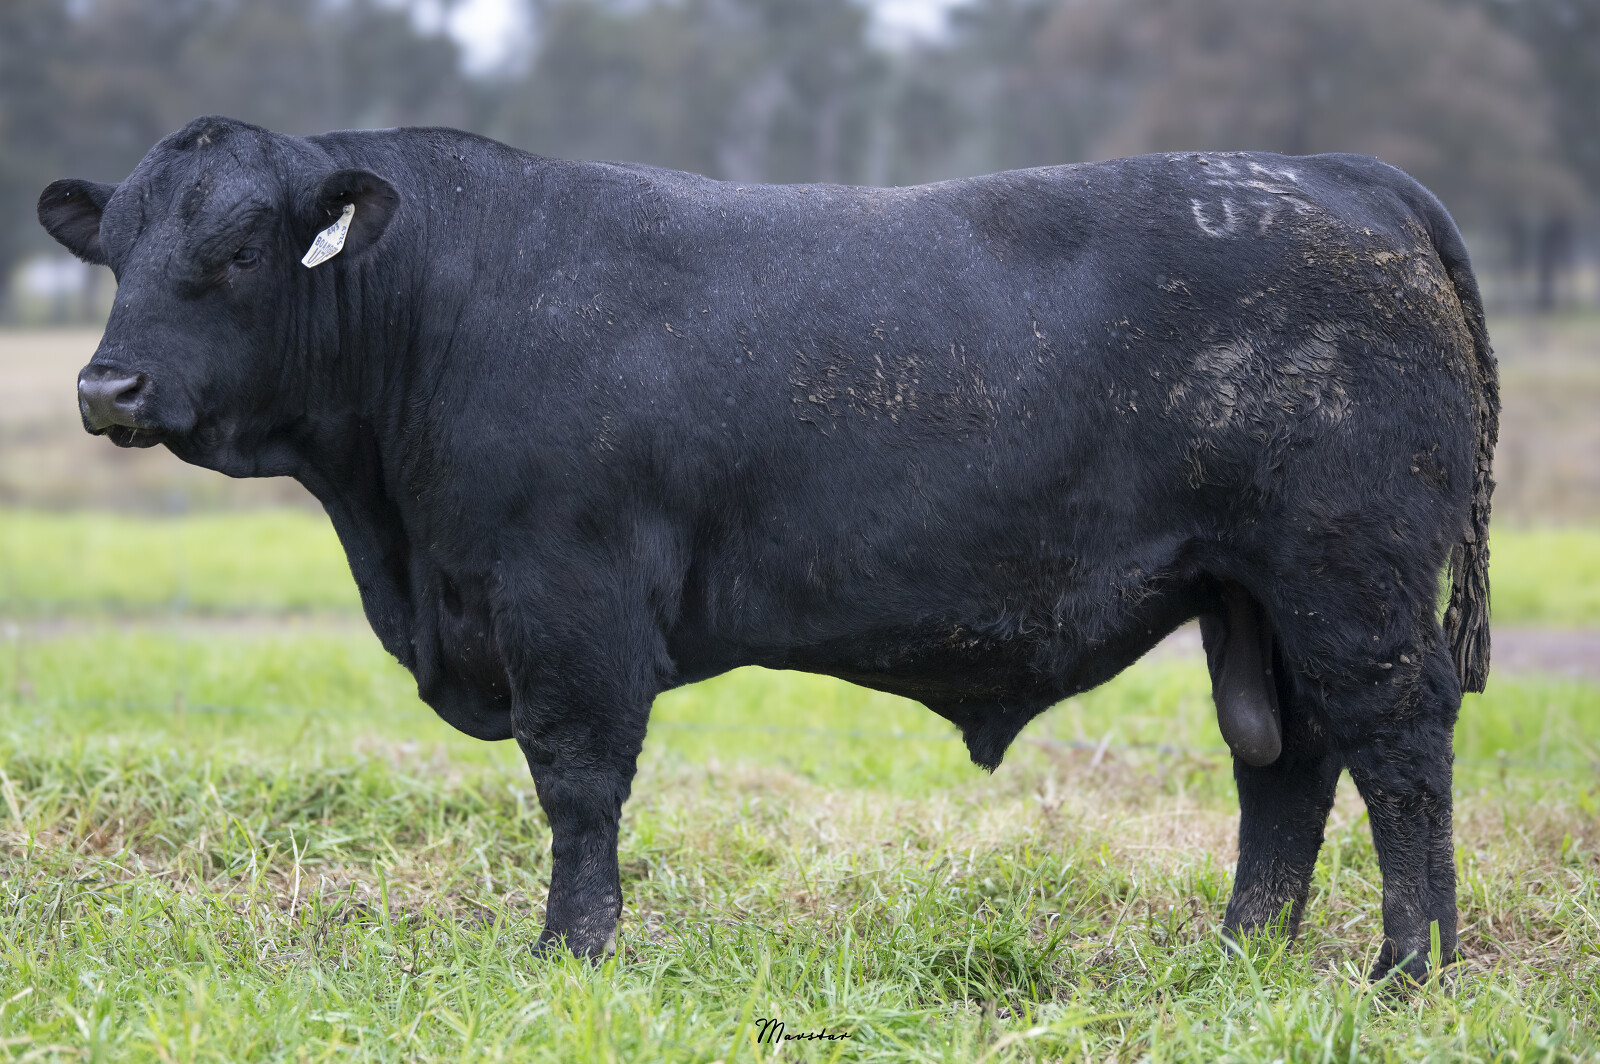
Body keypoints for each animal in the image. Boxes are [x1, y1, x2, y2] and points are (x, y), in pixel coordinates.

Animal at [39, 116, 1496, 981]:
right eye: (115, 250)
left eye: (239, 249)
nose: (105, 388)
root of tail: (1337, 174)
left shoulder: (568, 598)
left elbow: (578, 782)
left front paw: (572, 952)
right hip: (1254, 594)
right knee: (1286, 764)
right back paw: (1244, 953)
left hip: (1351, 578)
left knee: (1399, 752)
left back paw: (1408, 968)